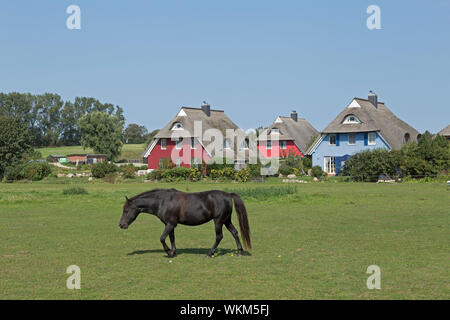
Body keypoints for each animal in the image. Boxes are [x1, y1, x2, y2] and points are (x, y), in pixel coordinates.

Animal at [119, 188, 251, 258]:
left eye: (126, 211)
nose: (121, 225)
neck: (163, 201)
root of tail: (228, 195)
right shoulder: (170, 224)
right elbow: (171, 238)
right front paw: (173, 251)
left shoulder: (170, 224)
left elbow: (162, 238)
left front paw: (168, 252)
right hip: (226, 220)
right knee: (235, 233)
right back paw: (239, 252)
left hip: (218, 221)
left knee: (219, 236)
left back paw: (209, 253)